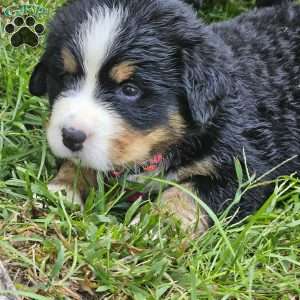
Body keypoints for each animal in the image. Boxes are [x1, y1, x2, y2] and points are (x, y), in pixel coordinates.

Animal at [29, 0, 300, 233]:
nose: (71, 137)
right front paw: (62, 188)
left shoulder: (246, 168)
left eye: (130, 90)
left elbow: (189, 194)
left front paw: (161, 224)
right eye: (65, 78)